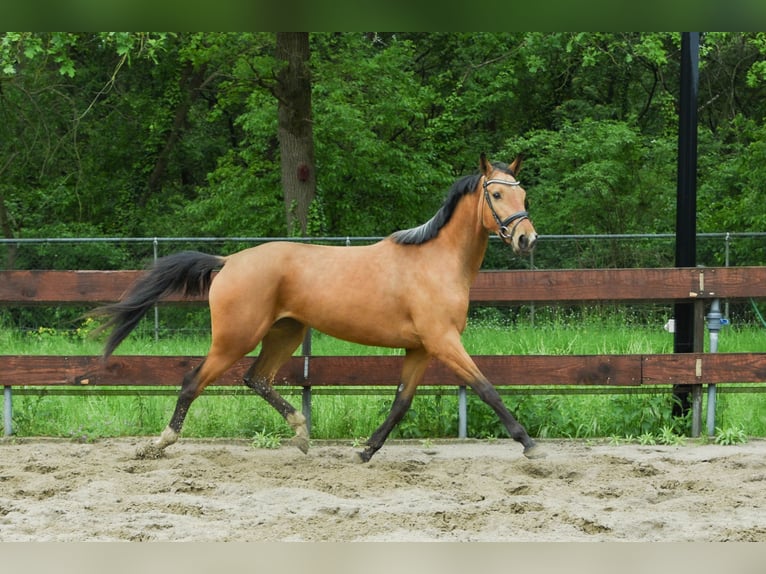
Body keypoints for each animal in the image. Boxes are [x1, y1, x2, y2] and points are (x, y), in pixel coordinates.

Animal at [93, 154, 544, 462]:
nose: (527, 239)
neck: (435, 261)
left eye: (523, 193)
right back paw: (159, 443)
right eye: (497, 193)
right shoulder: (443, 341)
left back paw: (301, 433)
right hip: (235, 338)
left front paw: (366, 450)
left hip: (285, 333)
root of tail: (229, 262)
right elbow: (486, 388)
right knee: (193, 381)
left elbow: (401, 402)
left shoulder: (420, 347)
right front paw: (528, 443)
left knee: (257, 379)